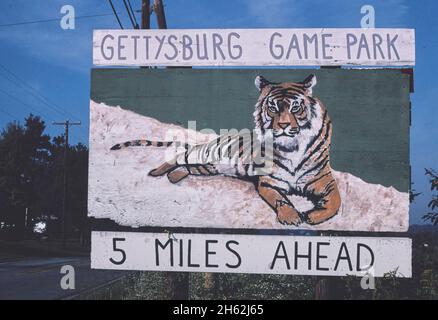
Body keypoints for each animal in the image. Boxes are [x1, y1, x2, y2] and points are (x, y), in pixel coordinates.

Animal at [110, 74, 342, 226]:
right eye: (273, 107)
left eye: (295, 107)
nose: (284, 126)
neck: (293, 147)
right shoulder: (269, 182)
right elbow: (281, 199)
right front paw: (292, 217)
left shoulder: (323, 179)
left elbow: (336, 201)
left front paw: (312, 216)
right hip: (203, 155)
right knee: (177, 157)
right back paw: (156, 172)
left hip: (208, 167)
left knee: (187, 167)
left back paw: (174, 177)